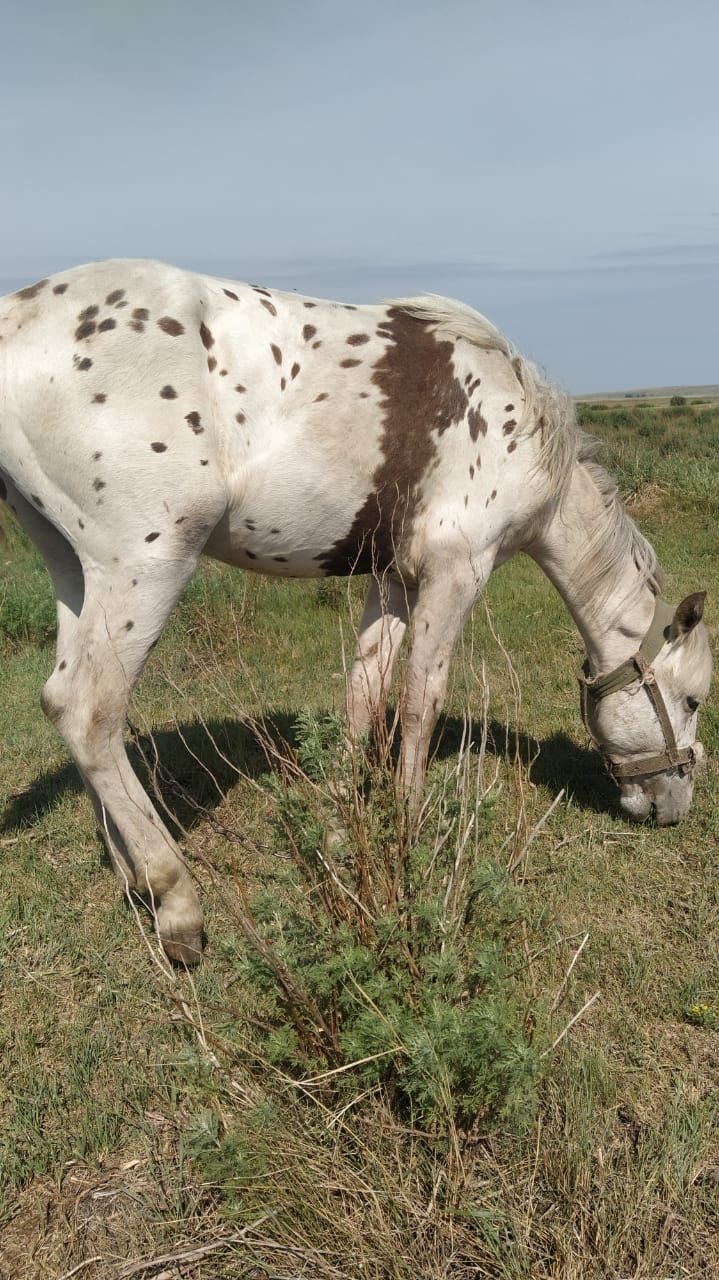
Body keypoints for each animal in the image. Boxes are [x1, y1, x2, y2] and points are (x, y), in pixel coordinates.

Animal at [0, 262, 706, 962]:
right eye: (694, 700)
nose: (674, 806)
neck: (525, 436)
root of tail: (17, 319)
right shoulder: (457, 571)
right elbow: (421, 700)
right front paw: (410, 831)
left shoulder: (393, 579)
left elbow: (365, 691)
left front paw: (343, 829)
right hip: (147, 565)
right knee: (87, 709)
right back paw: (175, 900)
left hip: (74, 568)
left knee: (69, 708)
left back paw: (133, 876)